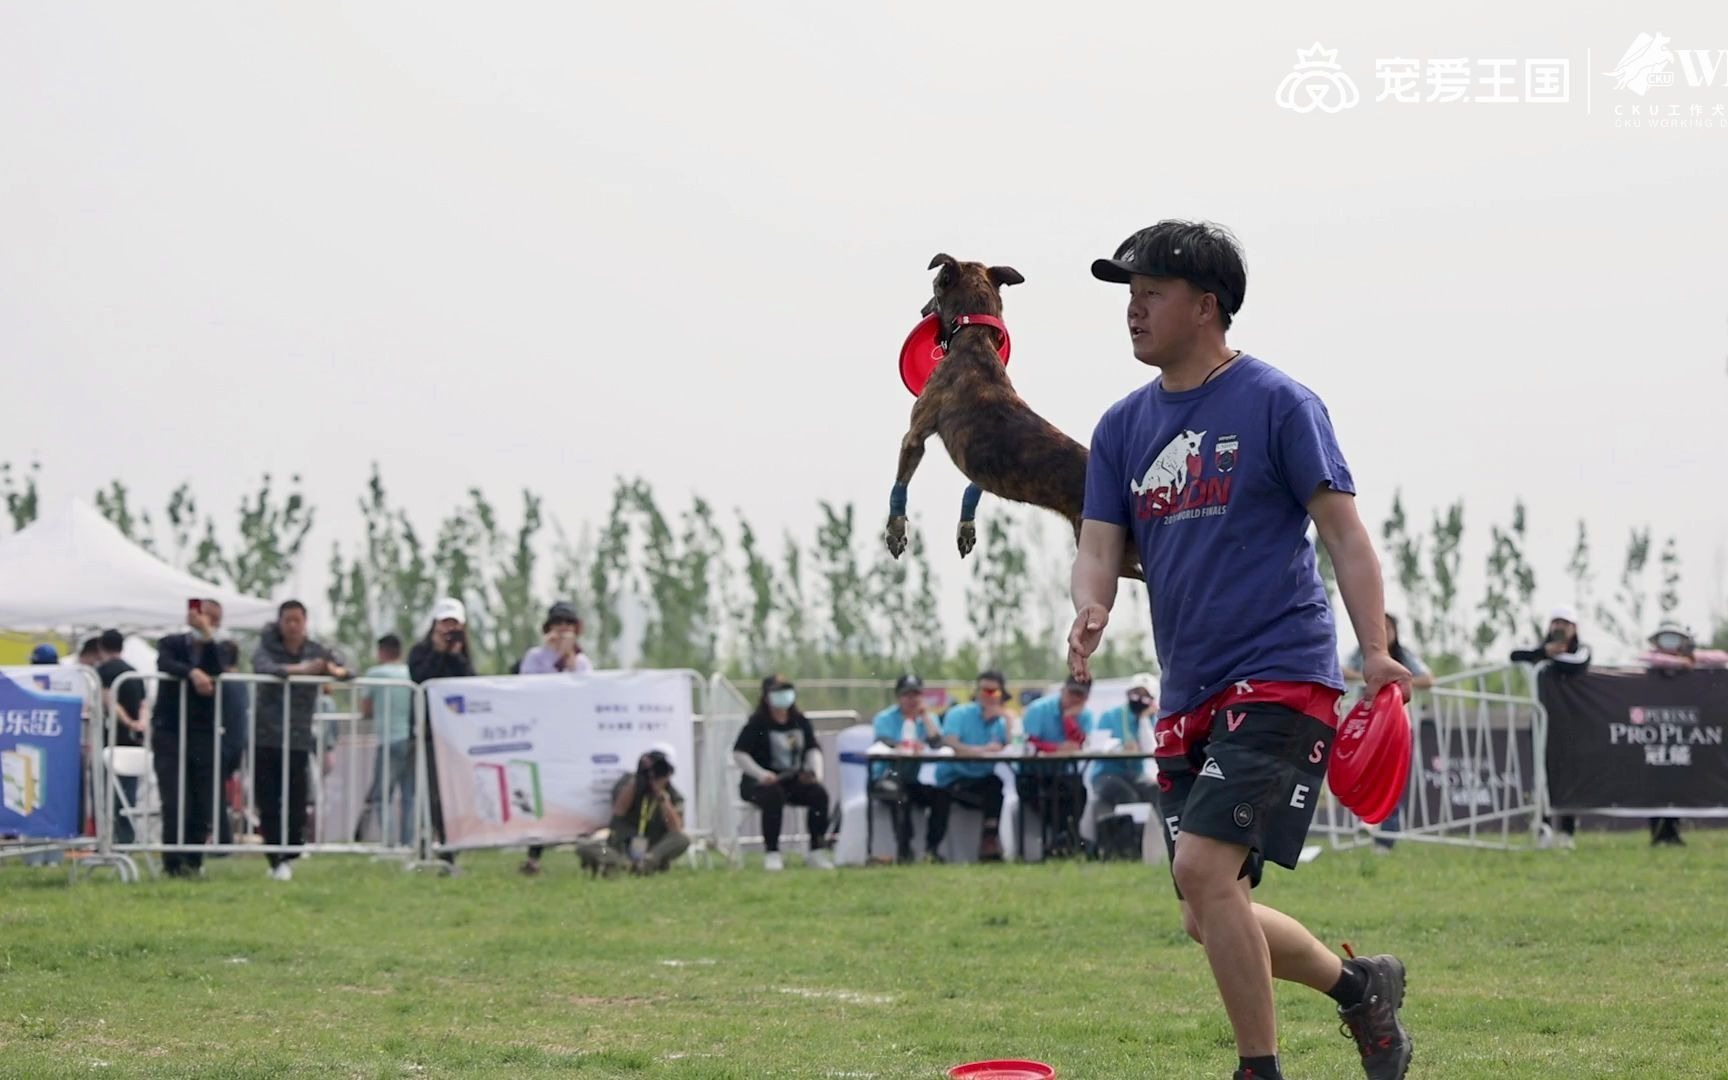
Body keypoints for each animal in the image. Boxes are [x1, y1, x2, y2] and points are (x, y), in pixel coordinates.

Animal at [891, 254, 1147, 580]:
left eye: (935, 286)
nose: (922, 311)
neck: (973, 338)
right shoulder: (981, 469)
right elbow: (972, 490)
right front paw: (966, 532)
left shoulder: (915, 435)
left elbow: (901, 484)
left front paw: (895, 533)